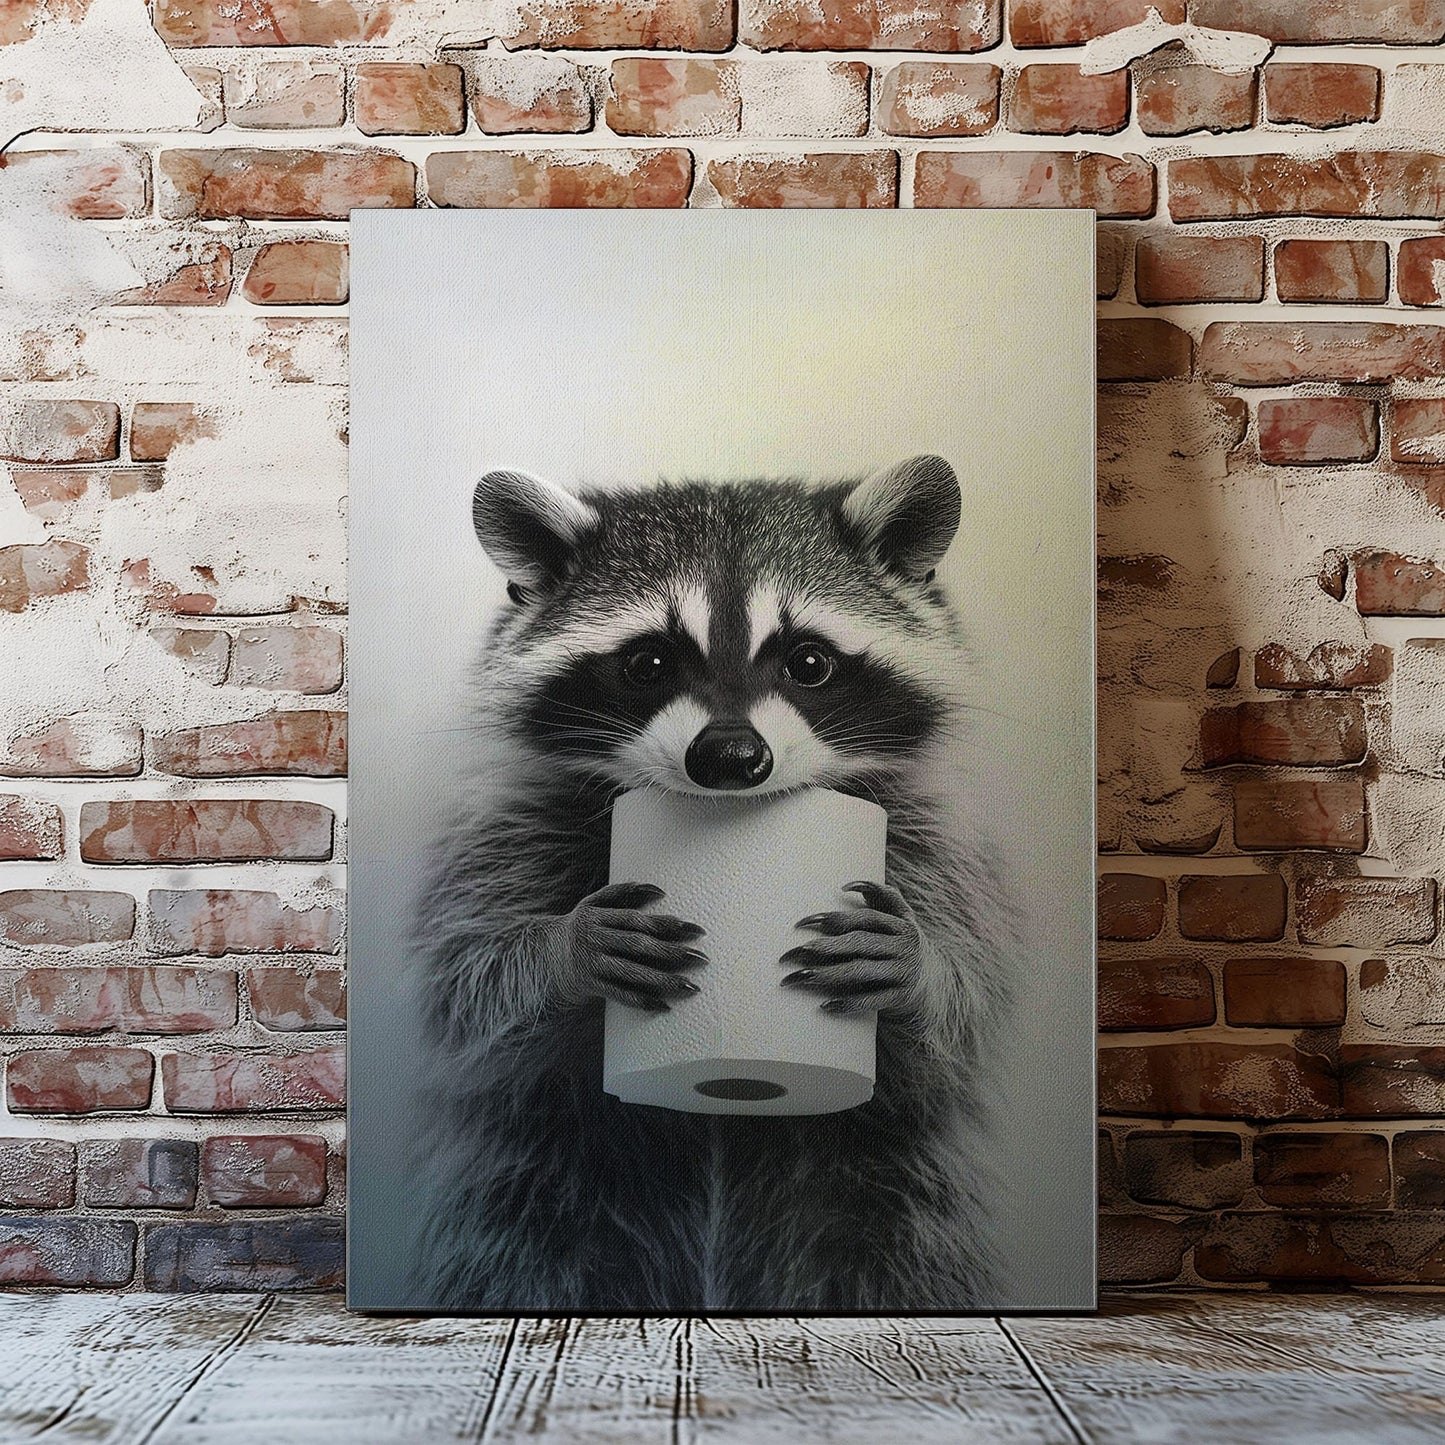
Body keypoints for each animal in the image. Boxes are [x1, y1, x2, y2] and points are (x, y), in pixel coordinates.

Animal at [412, 455, 1016, 1312]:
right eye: (649, 663)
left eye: (807, 662)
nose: (731, 758)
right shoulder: (506, 824)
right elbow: (459, 986)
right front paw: (560, 952)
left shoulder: (934, 836)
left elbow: (977, 1002)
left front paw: (921, 969)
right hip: (536, 1192)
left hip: (891, 1198)